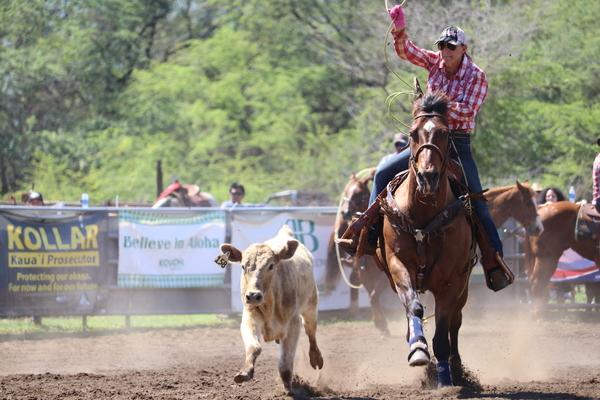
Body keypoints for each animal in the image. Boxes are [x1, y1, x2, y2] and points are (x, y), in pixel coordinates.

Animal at [326, 167, 392, 336]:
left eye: (359, 194)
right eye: (346, 191)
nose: (345, 212)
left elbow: (375, 295)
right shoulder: (363, 273)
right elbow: (372, 296)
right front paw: (381, 324)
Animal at [380, 88, 474, 388]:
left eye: (445, 133)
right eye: (412, 133)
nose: (427, 177)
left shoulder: (451, 281)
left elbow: (443, 328)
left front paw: (444, 377)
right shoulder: (398, 265)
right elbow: (414, 307)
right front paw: (419, 349)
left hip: (464, 286)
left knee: (455, 321)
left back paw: (456, 366)